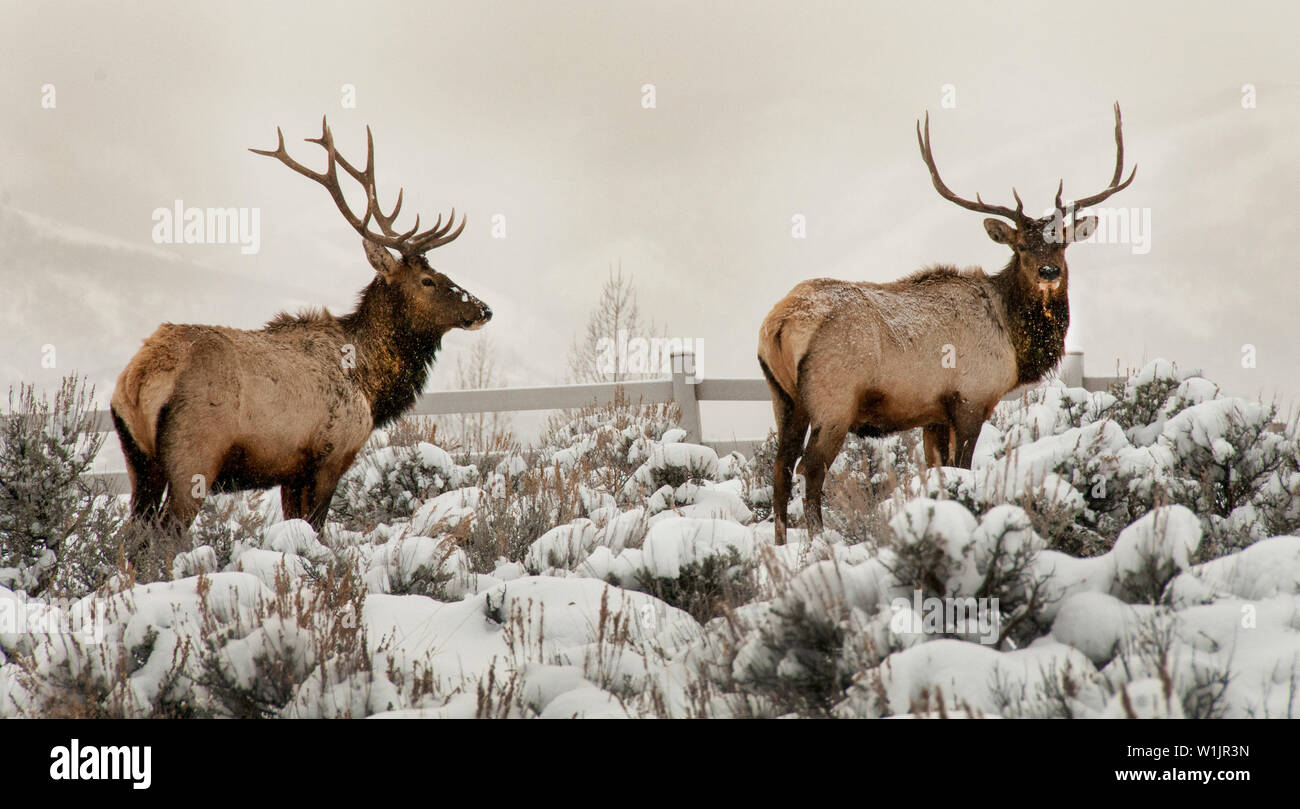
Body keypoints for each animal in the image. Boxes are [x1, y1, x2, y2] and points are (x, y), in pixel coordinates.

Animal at [107, 119, 488, 538]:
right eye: (428, 280)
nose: (484, 309)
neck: (371, 385)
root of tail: (140, 376)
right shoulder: (331, 454)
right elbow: (316, 528)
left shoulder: (291, 471)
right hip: (194, 454)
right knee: (165, 533)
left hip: (138, 457)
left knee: (131, 533)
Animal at [759, 101, 1133, 546]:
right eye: (1021, 246)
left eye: (1061, 243)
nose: (1048, 271)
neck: (1014, 341)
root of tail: (779, 323)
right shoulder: (971, 397)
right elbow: (964, 468)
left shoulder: (934, 413)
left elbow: (938, 473)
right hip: (833, 400)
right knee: (811, 468)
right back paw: (819, 544)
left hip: (783, 397)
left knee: (780, 468)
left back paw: (781, 545)